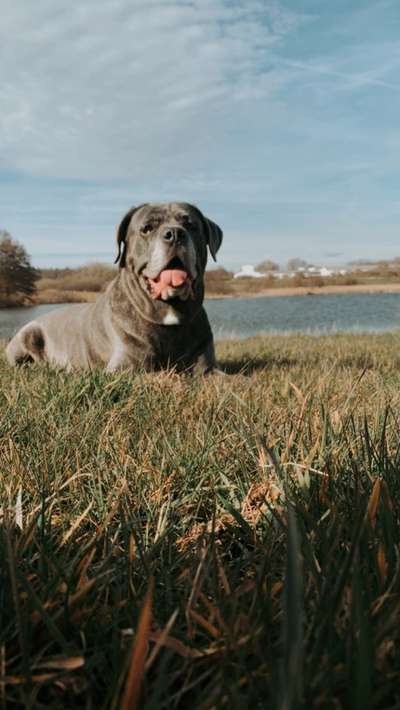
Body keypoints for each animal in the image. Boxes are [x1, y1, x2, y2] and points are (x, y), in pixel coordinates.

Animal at [6, 203, 223, 376]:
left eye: (191, 225)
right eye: (147, 228)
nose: (175, 234)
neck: (168, 310)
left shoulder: (207, 368)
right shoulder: (126, 369)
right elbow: (172, 376)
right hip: (28, 333)